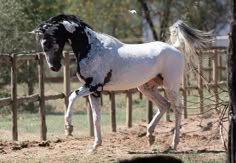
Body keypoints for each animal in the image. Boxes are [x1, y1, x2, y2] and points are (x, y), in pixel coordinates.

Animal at [30, 14, 210, 151]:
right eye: (43, 43)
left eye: (52, 40)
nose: (54, 67)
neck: (92, 47)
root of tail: (175, 48)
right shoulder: (95, 91)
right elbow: (96, 117)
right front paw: (95, 146)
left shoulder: (94, 86)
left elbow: (72, 96)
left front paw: (69, 128)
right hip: (146, 87)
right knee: (164, 105)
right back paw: (150, 136)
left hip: (170, 86)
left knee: (178, 108)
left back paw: (174, 144)